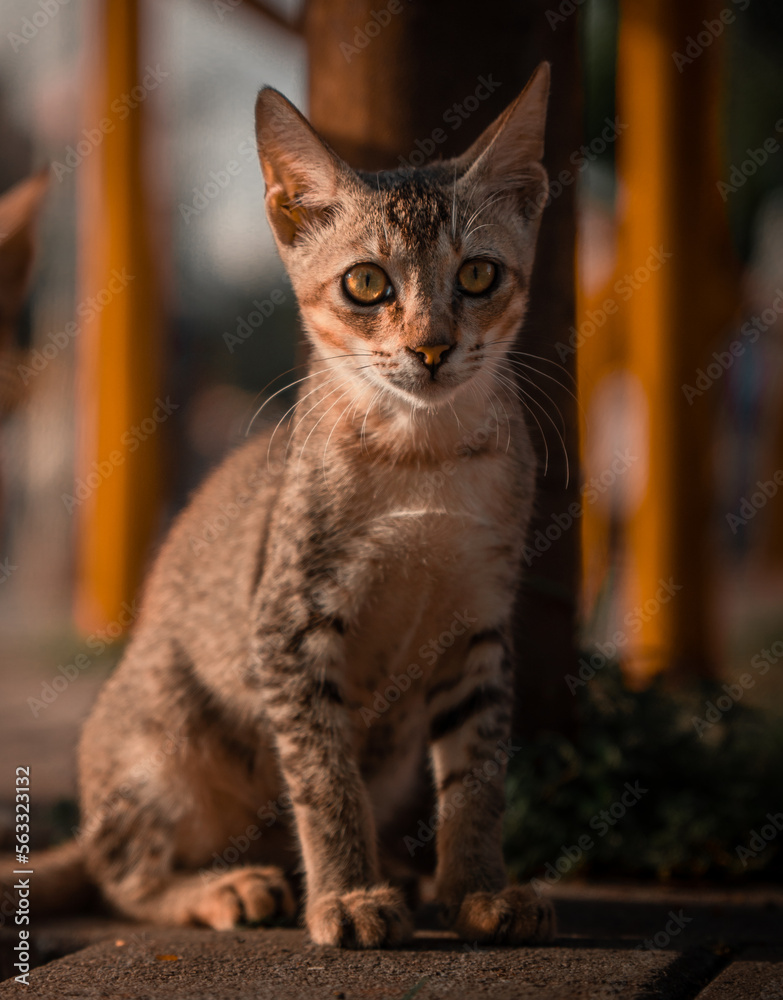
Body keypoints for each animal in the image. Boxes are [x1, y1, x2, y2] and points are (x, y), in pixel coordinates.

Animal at [70, 60, 556, 944]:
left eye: (478, 274)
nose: (430, 348)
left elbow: (476, 777)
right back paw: (226, 888)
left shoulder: (478, 621)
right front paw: (348, 896)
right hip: (166, 735)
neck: (421, 456)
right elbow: (325, 778)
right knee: (118, 874)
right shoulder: (287, 624)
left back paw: (407, 875)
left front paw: (476, 888)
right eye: (366, 284)